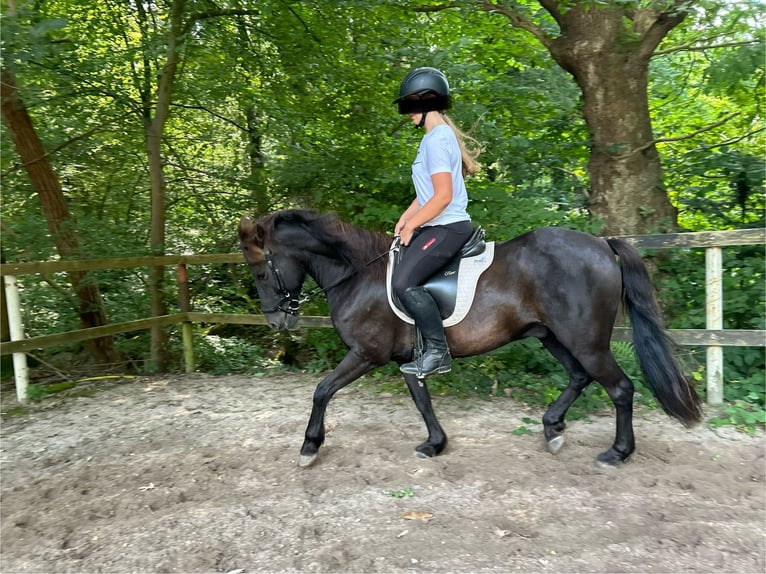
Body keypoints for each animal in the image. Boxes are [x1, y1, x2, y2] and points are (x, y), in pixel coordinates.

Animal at [238, 209, 704, 470]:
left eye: (260, 271)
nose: (277, 322)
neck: (358, 274)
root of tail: (602, 245)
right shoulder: (408, 358)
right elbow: (422, 401)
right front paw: (434, 444)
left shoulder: (366, 354)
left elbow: (321, 390)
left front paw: (309, 447)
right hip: (552, 336)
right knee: (579, 378)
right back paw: (552, 428)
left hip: (586, 341)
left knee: (620, 388)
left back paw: (617, 453)